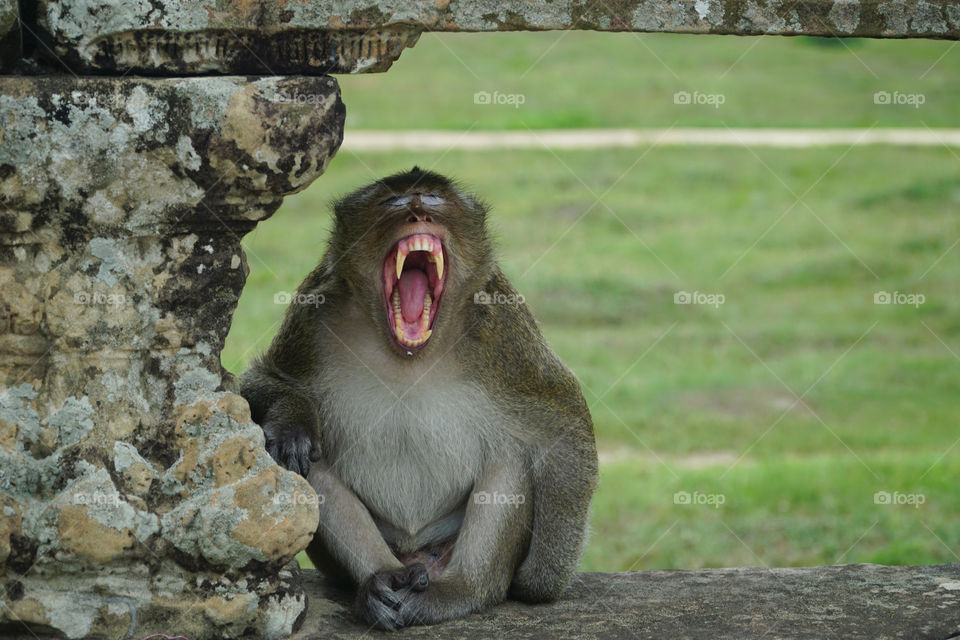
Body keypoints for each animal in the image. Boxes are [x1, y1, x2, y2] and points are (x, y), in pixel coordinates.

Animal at [240, 168, 597, 630]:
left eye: (432, 198)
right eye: (391, 202)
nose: (415, 212)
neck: (408, 354)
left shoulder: (505, 329)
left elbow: (561, 422)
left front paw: (542, 580)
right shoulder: (313, 310)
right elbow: (262, 380)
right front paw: (291, 421)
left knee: (510, 459)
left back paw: (458, 590)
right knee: (309, 469)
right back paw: (381, 584)